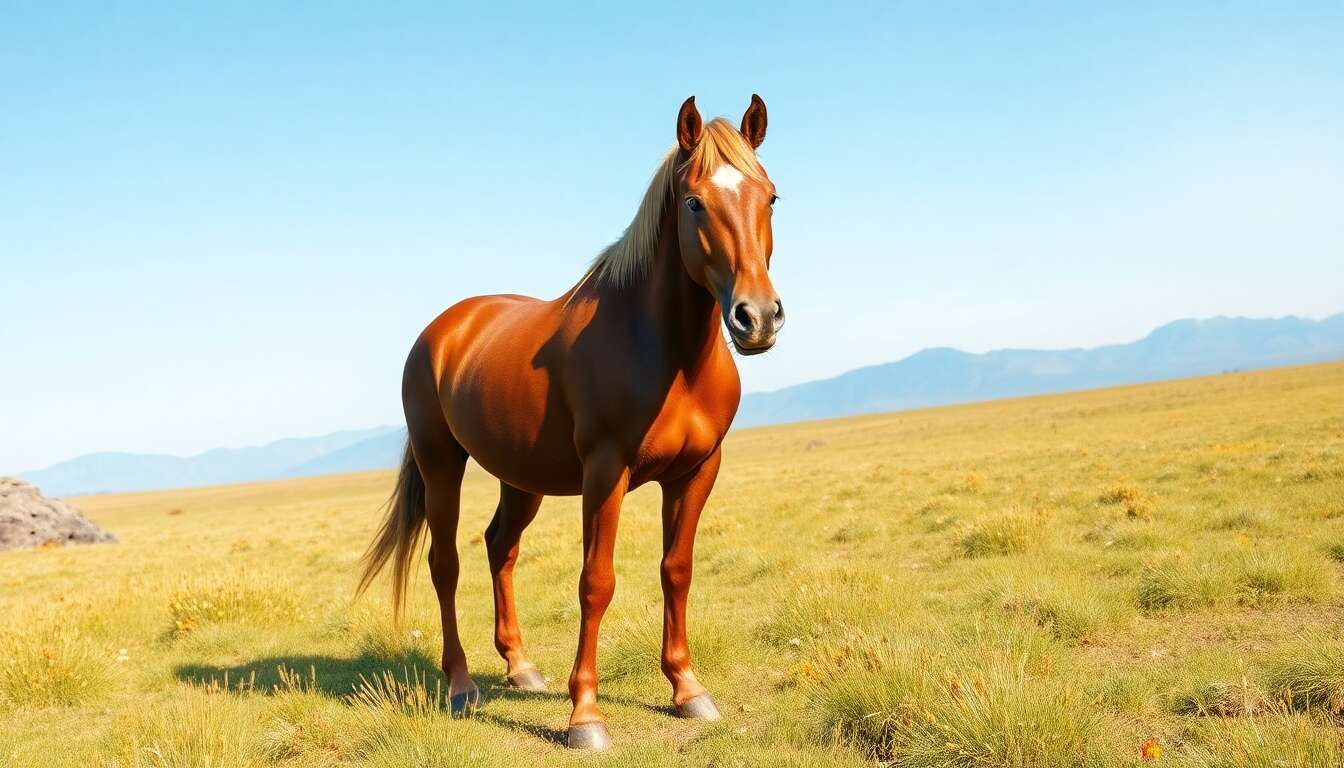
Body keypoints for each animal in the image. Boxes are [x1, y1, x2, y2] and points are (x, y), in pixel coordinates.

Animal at [357, 94, 783, 751]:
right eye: (694, 202)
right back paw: (461, 686)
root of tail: (445, 329)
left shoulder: (696, 472)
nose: (756, 318)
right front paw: (585, 715)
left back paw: (520, 666)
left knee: (499, 547)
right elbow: (596, 582)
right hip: (441, 465)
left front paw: (687, 689)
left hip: (520, 478)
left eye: (770, 197)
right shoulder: (605, 474)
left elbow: (677, 570)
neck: (665, 350)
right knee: (445, 564)